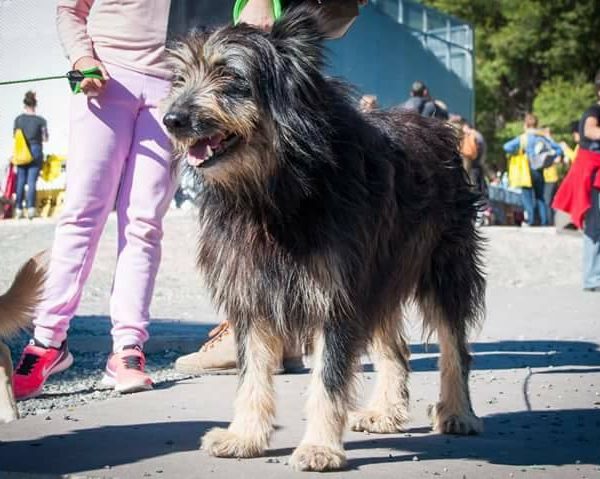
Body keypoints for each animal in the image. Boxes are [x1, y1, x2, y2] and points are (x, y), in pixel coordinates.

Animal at [162, 5, 486, 474]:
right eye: (180, 78)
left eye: (229, 75)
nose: (172, 119)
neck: (275, 187)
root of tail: (439, 128)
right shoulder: (253, 290)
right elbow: (252, 373)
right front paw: (244, 436)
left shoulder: (336, 294)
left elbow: (328, 379)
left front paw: (319, 446)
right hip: (380, 274)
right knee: (395, 349)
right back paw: (386, 411)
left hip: (442, 268)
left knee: (454, 346)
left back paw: (459, 412)